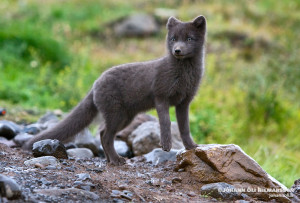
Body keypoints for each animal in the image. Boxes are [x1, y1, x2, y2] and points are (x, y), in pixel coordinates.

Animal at [23, 15, 206, 165]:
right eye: (173, 38)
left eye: (189, 38)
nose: (177, 50)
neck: (184, 76)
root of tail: (96, 82)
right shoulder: (161, 97)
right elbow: (166, 123)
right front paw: (166, 146)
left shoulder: (184, 102)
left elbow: (185, 127)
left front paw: (191, 146)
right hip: (116, 115)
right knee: (105, 136)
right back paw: (117, 160)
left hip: (125, 118)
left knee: (102, 133)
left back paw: (111, 160)